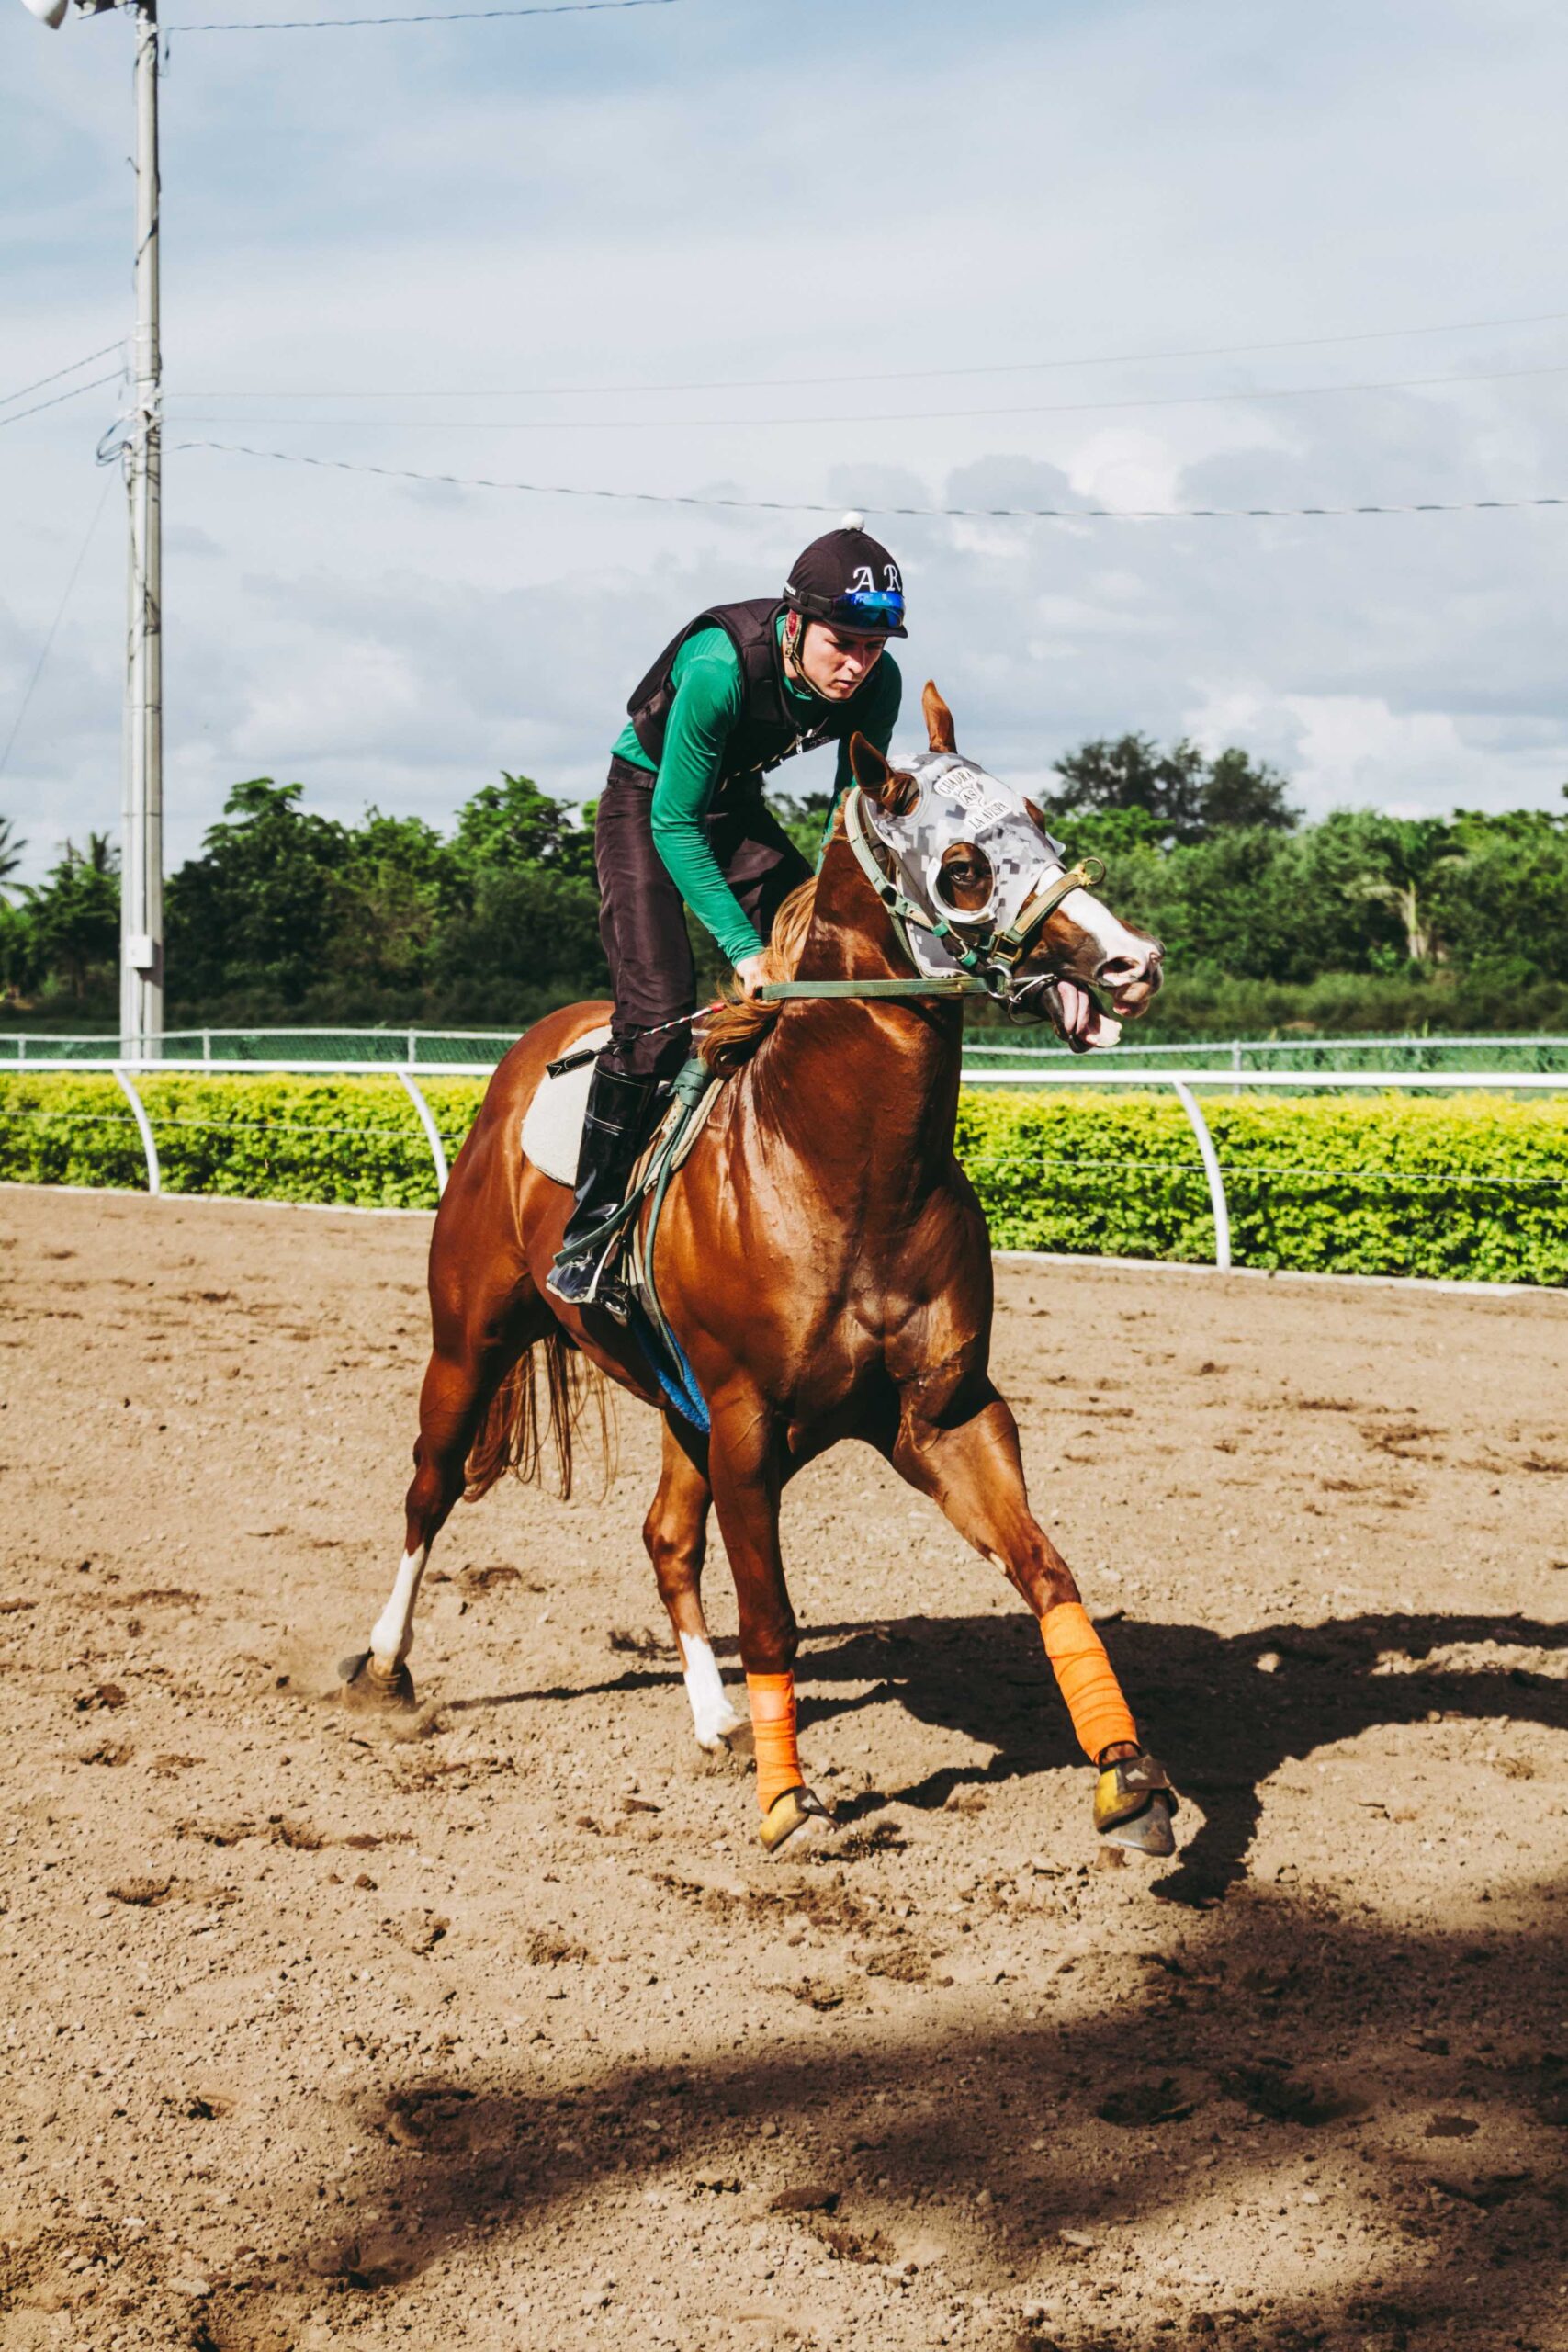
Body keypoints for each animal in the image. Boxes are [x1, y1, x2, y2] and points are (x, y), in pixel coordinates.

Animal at [344, 684, 1177, 1858]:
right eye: (964, 864)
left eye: (1043, 818)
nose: (1130, 961)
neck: (842, 1163)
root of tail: (534, 1051)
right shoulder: (745, 1421)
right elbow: (774, 1617)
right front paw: (790, 1802)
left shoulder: (944, 1411)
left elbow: (1047, 1572)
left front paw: (1127, 1773)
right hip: (470, 1340)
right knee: (428, 1490)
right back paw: (385, 1665)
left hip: (674, 1403)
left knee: (663, 1538)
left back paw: (715, 1717)